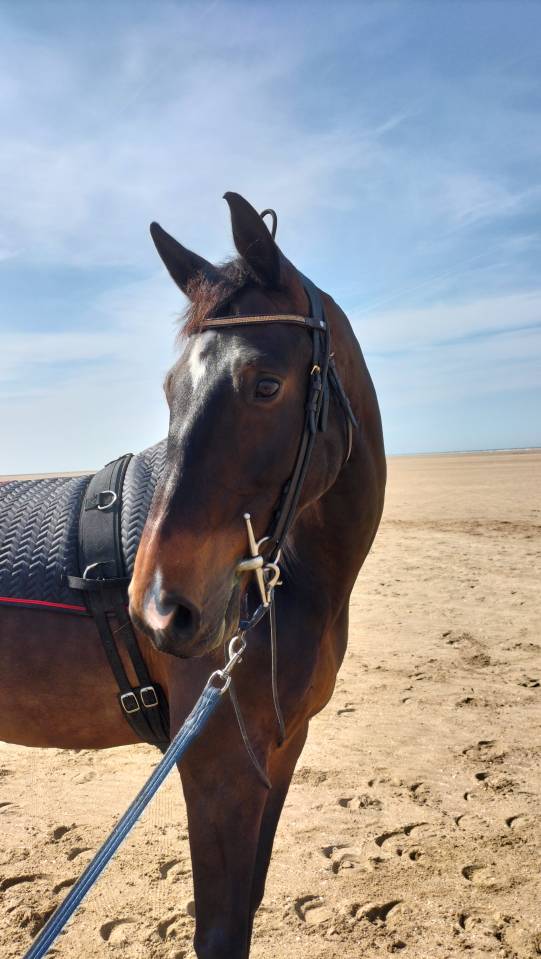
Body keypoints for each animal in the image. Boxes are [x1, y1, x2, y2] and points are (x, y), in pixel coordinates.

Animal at [0, 191, 386, 958]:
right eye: (172, 388)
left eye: (265, 384)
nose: (159, 610)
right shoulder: (218, 772)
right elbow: (220, 932)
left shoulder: (276, 756)